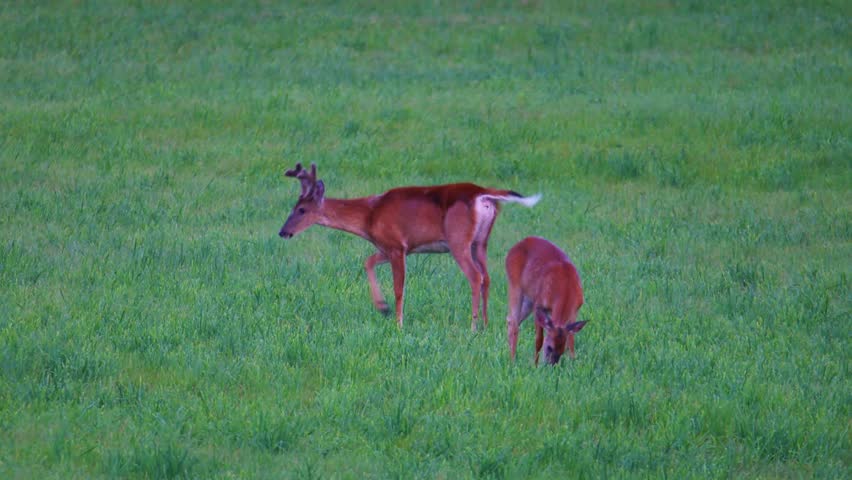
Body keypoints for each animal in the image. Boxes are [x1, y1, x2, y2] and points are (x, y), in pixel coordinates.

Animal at [278, 163, 540, 331]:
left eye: (301, 209)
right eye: (294, 207)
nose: (283, 232)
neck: (370, 214)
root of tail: (483, 194)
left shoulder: (397, 246)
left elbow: (399, 288)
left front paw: (398, 324)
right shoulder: (387, 247)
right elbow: (368, 262)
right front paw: (382, 308)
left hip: (459, 241)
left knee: (476, 277)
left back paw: (473, 326)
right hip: (480, 242)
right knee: (487, 277)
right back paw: (486, 325)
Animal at [505, 236, 587, 365]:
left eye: (562, 350)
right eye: (549, 347)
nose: (551, 365)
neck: (566, 286)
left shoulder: (575, 309)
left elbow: (571, 338)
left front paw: (573, 361)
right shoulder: (539, 304)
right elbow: (539, 339)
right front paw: (535, 364)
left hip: (529, 298)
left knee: (512, 319)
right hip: (515, 285)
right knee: (513, 322)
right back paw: (512, 361)